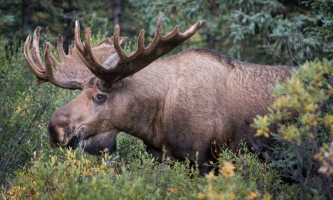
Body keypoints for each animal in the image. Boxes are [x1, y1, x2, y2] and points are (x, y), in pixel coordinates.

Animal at [23, 14, 290, 173]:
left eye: (100, 96)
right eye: (79, 92)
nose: (55, 129)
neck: (154, 123)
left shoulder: (205, 160)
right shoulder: (161, 157)